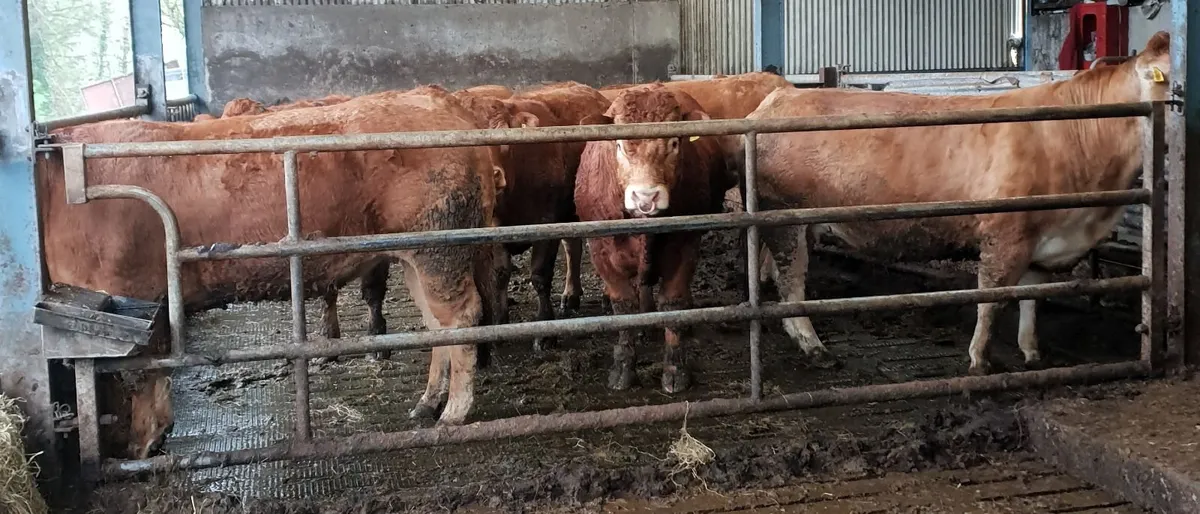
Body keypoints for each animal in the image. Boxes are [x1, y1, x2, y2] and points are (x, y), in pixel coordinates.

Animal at [38, 86, 506, 457]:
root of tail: (442, 102)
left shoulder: (132, 295)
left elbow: (137, 375)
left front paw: (142, 444)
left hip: (439, 248)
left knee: (462, 317)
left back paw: (453, 414)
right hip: (415, 255)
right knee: (437, 325)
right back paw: (426, 403)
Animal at [574, 83, 732, 393]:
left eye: (674, 144)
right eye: (619, 145)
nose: (646, 197)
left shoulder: (685, 244)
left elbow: (673, 303)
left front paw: (675, 369)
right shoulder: (601, 251)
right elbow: (623, 305)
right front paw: (623, 366)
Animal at [728, 31, 1173, 374]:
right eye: (1167, 84)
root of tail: (779, 99)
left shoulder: (1041, 237)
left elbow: (1033, 297)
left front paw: (1032, 353)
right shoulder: (1004, 235)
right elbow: (991, 299)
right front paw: (980, 360)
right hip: (786, 217)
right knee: (791, 284)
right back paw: (815, 347)